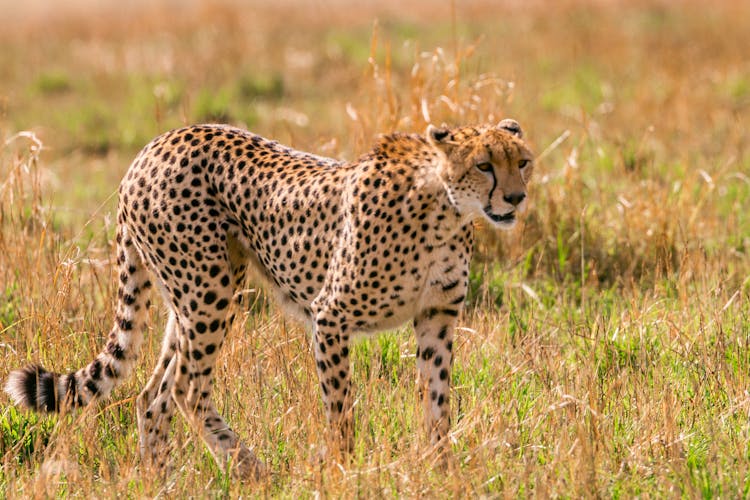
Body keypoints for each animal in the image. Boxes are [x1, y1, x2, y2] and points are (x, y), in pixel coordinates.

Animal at [4, 118, 536, 480]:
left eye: (523, 162)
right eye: (484, 165)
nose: (515, 199)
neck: (444, 208)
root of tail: (156, 143)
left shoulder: (435, 316)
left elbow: (438, 399)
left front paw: (441, 467)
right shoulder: (330, 316)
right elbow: (341, 408)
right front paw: (344, 470)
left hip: (191, 299)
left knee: (153, 394)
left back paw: (162, 479)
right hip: (209, 290)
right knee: (187, 388)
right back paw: (249, 468)